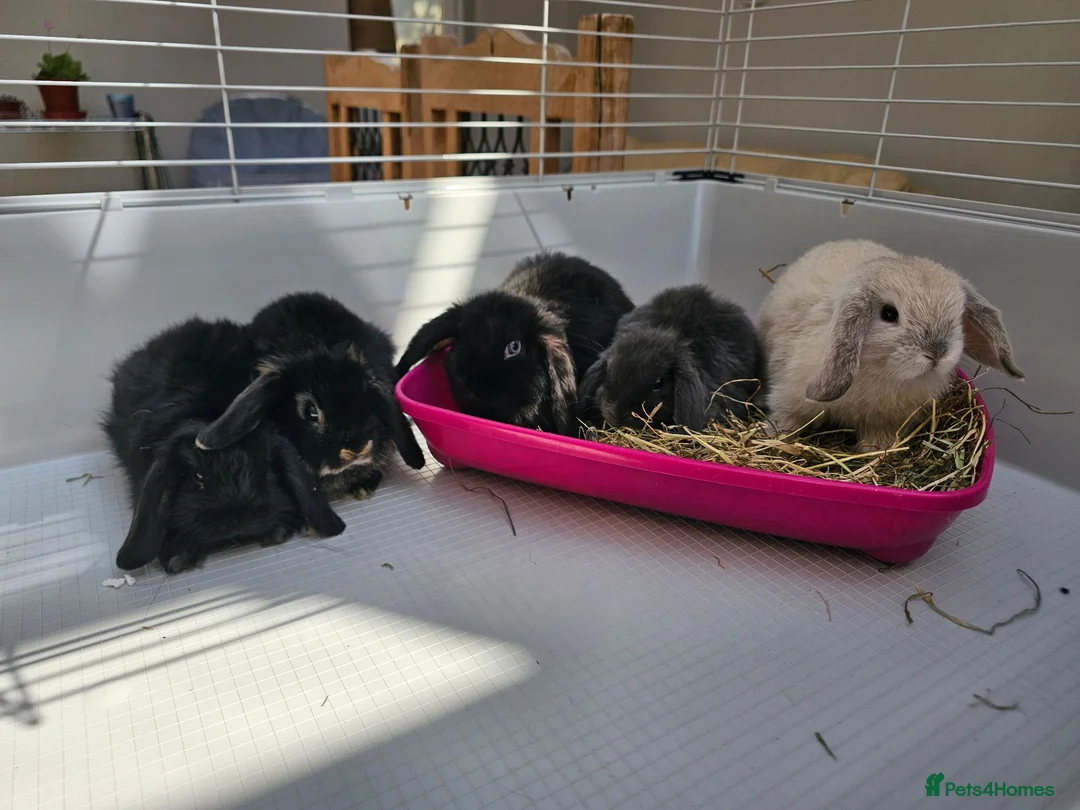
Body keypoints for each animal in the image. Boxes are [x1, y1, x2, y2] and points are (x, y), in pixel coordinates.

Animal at [103, 317, 346, 574]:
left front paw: (277, 533)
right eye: (198, 477)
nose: (235, 521)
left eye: (263, 471)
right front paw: (179, 559)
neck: (209, 411)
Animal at [758, 238, 1024, 451]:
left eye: (958, 318)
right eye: (889, 314)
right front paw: (773, 435)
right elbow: (788, 417)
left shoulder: (884, 422)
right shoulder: (790, 396)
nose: (936, 352)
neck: (881, 372)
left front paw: (874, 452)